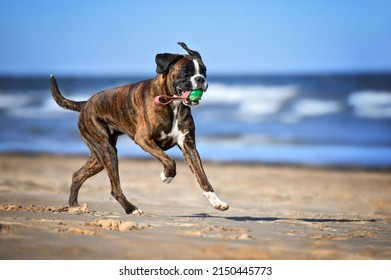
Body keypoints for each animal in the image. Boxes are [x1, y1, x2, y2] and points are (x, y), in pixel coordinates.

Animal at [51, 41, 231, 214]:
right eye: (186, 70)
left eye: (204, 71)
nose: (200, 79)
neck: (174, 104)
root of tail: (85, 103)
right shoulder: (144, 139)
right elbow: (169, 160)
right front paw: (166, 176)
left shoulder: (189, 146)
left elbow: (202, 177)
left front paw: (216, 201)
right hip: (107, 150)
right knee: (114, 188)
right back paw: (131, 208)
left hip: (99, 157)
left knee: (77, 175)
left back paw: (74, 205)